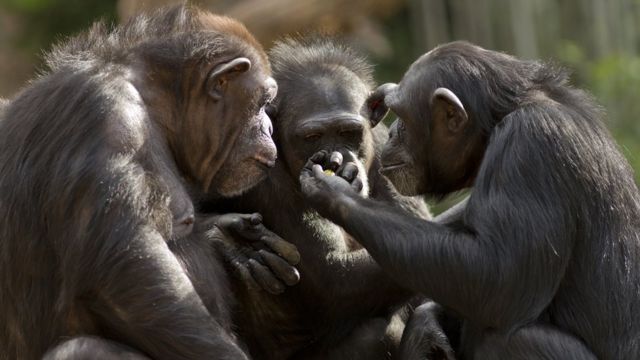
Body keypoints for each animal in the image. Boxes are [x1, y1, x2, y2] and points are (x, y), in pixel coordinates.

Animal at [0, 6, 298, 360]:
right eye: (264, 102)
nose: (269, 126)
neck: (154, 103)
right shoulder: (107, 119)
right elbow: (132, 277)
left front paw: (231, 240)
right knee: (84, 347)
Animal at [211, 36, 436, 360]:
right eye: (312, 137)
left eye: (348, 132)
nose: (336, 158)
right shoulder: (263, 177)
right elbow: (333, 276)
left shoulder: (388, 147)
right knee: (375, 333)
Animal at [300, 40, 640, 360]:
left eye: (403, 116)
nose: (393, 132)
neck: (497, 122)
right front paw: (427, 326)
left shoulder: (531, 145)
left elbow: (498, 274)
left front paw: (334, 190)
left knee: (508, 340)